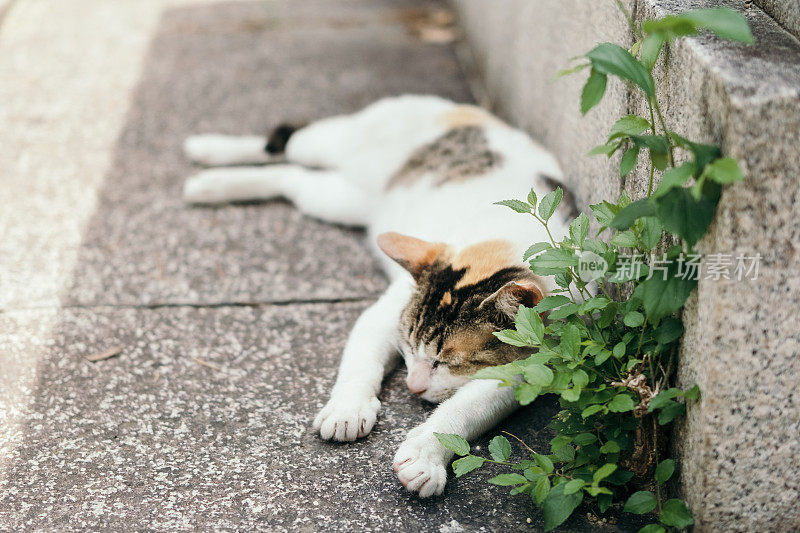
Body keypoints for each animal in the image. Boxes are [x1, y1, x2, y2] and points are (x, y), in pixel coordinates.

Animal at [183, 93, 568, 496]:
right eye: (410, 346)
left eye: (445, 362)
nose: (413, 386)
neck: (507, 235)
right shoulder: (388, 311)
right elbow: (362, 358)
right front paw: (348, 409)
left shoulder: (528, 364)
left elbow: (466, 408)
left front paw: (426, 454)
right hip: (338, 144)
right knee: (292, 144)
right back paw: (208, 155)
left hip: (342, 201)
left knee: (295, 178)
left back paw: (211, 183)